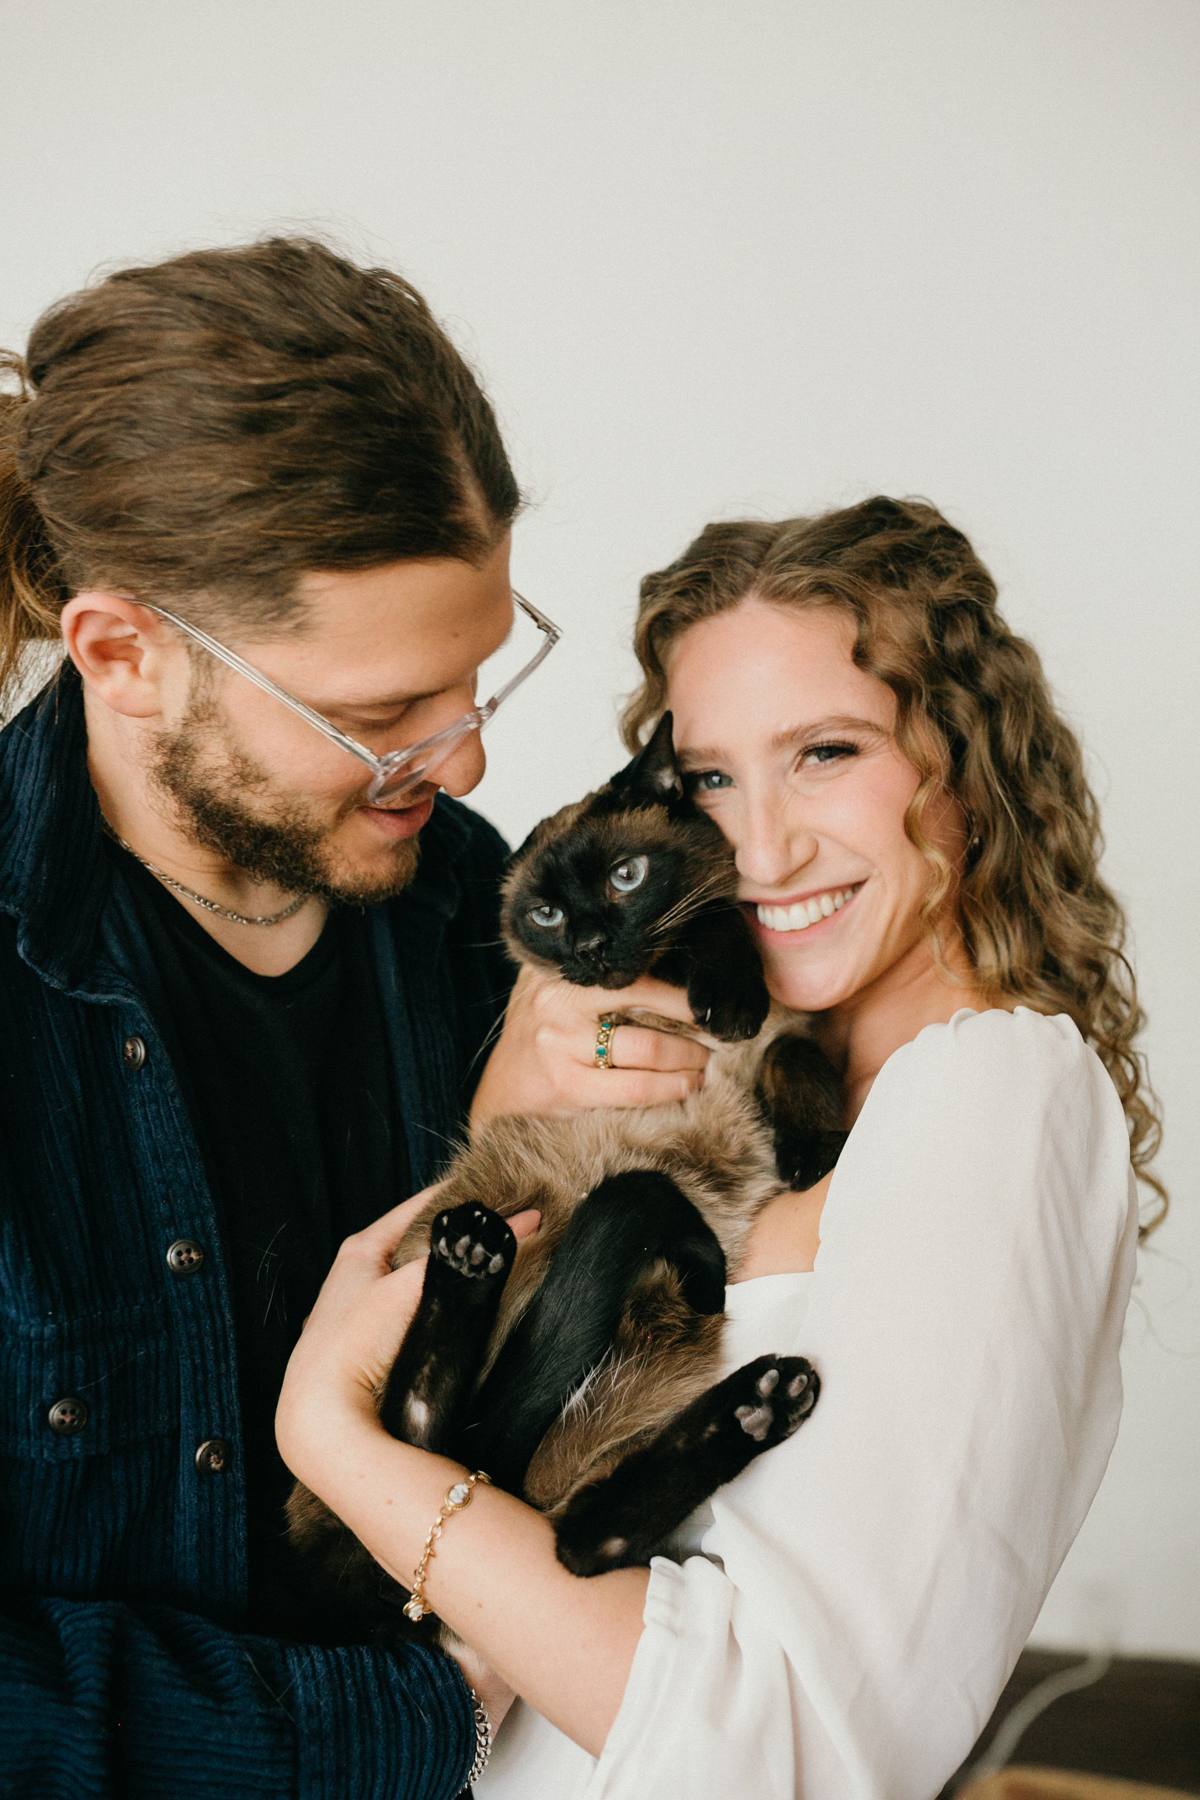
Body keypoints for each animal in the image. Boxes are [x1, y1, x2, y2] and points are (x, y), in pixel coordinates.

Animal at [287, 709, 845, 1641]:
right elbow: (711, 930)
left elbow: (776, 1024)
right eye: (545, 914)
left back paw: (761, 1402)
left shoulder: (792, 1032)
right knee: (425, 1430)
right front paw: (729, 1003)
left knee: (583, 1542)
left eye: (627, 877)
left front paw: (808, 1144)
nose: (588, 944)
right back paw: (474, 1260)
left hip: (629, 1409)